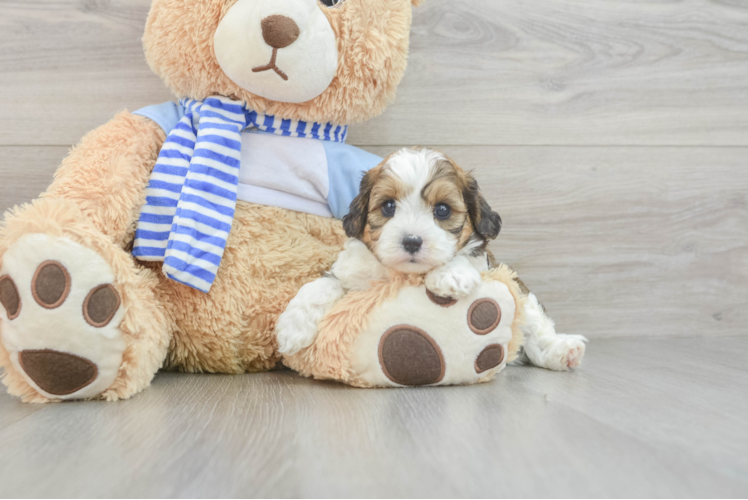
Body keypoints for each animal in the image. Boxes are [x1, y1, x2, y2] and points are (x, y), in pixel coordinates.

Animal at [278, 146, 588, 370]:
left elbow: (466, 256)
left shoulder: (485, 261)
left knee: (535, 329)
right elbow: (322, 284)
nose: (412, 241)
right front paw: (292, 327)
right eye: (388, 206)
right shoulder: (351, 272)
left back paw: (563, 351)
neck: (406, 273)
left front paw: (450, 275)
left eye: (442, 210)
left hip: (522, 295)